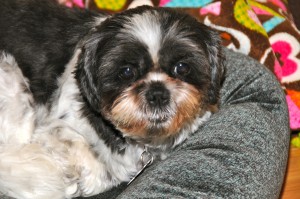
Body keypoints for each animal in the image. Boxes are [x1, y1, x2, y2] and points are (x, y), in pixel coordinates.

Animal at [0, 0, 224, 199]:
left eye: (182, 67)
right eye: (126, 71)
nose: (157, 93)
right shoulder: (52, 129)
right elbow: (85, 158)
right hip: (10, 77)